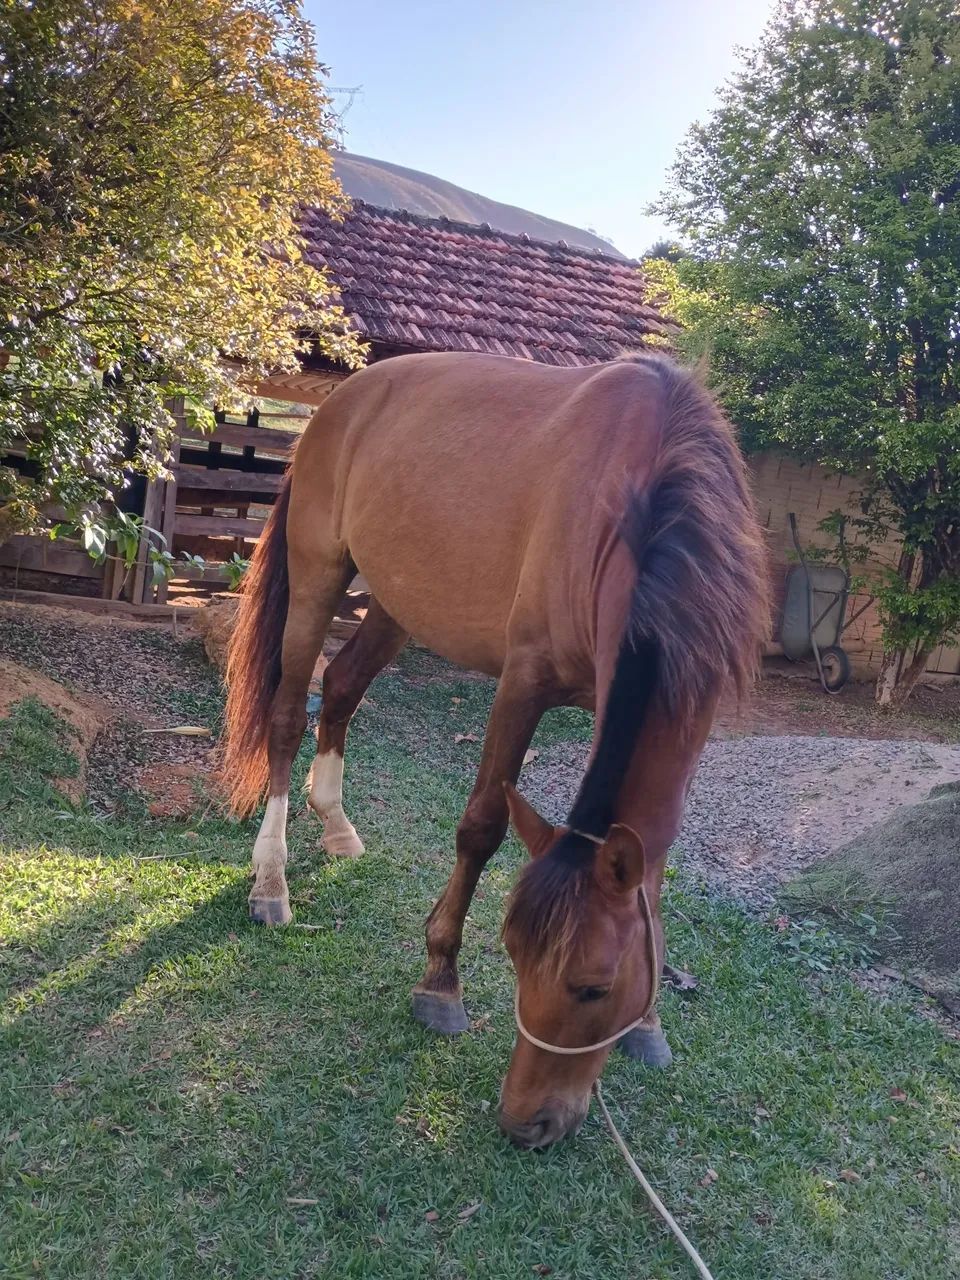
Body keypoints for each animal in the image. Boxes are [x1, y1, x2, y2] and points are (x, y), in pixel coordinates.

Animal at [222, 349, 769, 1149]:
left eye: (593, 987)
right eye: (510, 955)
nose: (525, 1120)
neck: (647, 501)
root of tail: (341, 401)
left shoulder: (689, 707)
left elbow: (656, 867)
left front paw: (649, 1026)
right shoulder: (523, 682)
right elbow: (481, 825)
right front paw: (439, 982)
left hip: (397, 600)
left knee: (345, 688)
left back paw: (337, 824)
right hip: (320, 573)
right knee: (291, 714)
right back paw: (271, 880)